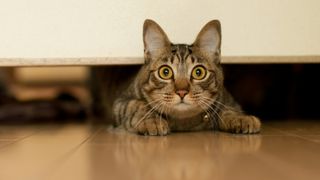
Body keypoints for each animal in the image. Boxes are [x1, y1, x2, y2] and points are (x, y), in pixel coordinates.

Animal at [106, 19, 262, 135]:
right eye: (165, 72)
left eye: (199, 72)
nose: (182, 92)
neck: (183, 124)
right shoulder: (120, 101)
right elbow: (137, 105)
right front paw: (152, 120)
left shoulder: (227, 99)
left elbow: (229, 109)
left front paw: (241, 118)